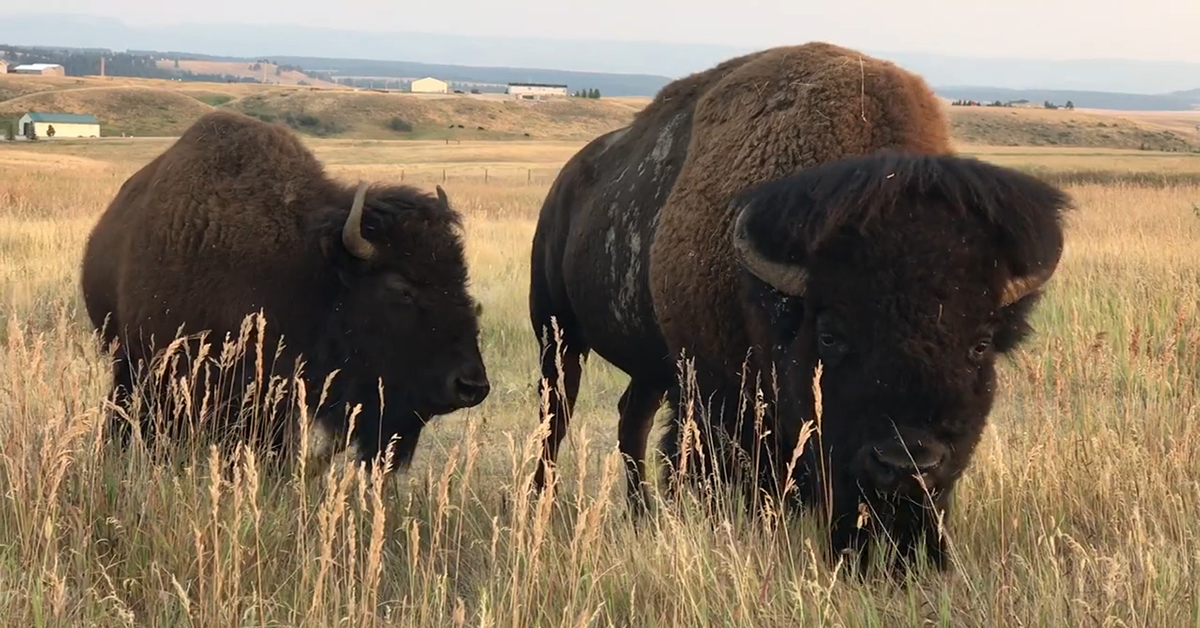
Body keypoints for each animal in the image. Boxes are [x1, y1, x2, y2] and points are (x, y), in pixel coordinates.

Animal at [528, 42, 1070, 571]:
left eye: (981, 344)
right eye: (830, 335)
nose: (905, 464)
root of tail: (566, 182)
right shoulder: (711, 398)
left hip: (649, 369)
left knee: (630, 420)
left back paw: (640, 514)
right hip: (557, 336)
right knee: (555, 417)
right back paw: (539, 507)